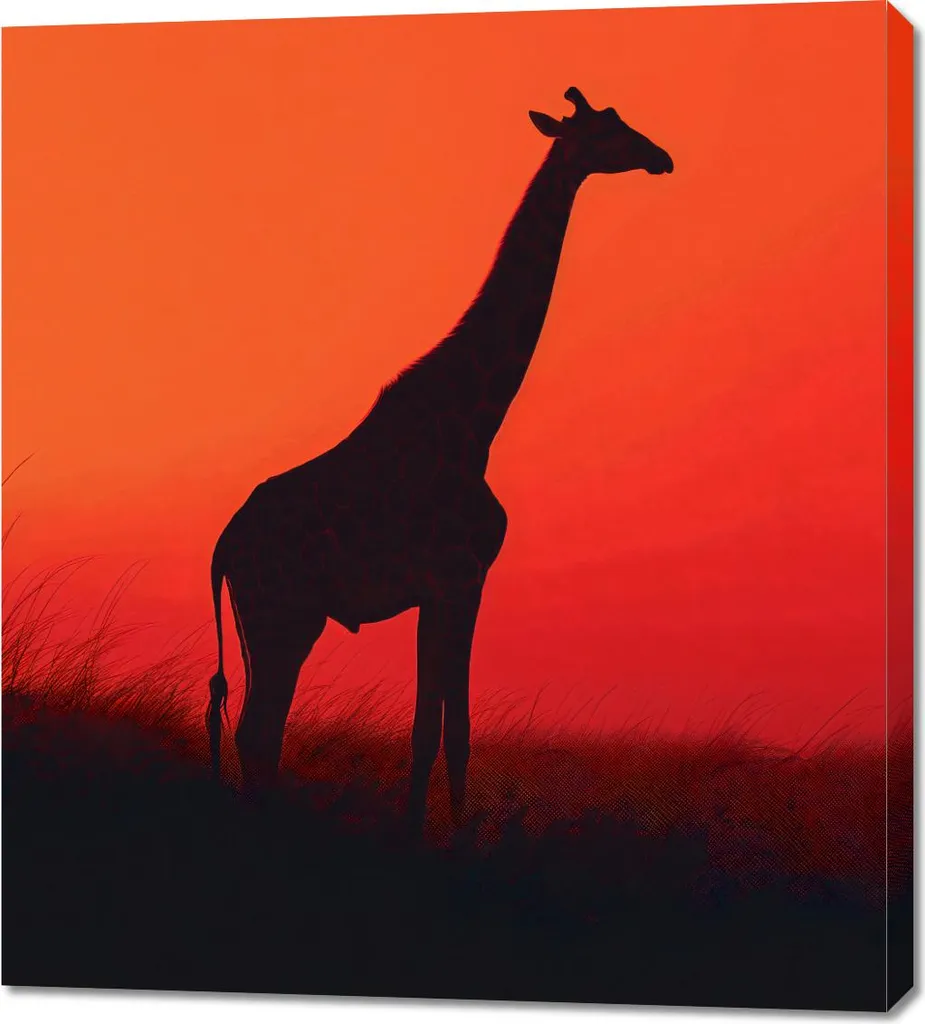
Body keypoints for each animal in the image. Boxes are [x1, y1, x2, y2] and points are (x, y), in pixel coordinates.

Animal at [207, 87, 673, 826]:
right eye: (608, 132)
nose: (661, 157)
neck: (477, 423)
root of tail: (223, 545)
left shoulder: (443, 588)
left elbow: (442, 727)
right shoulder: (461, 577)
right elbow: (444, 730)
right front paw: (436, 838)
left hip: (266, 619)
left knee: (259, 732)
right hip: (284, 613)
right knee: (258, 731)